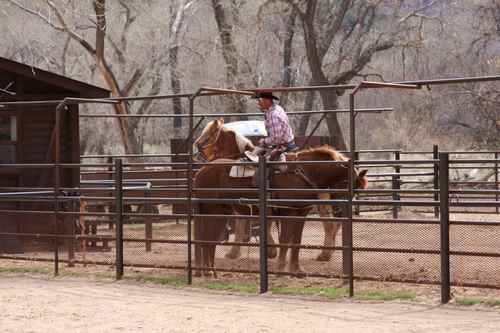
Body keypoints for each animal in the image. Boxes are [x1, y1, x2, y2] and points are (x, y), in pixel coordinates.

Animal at [192, 143, 368, 274]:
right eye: (347, 184)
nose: (340, 210)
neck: (302, 173)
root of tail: (201, 171)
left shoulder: (301, 213)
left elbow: (296, 241)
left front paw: (296, 269)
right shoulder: (286, 212)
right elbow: (284, 240)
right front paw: (281, 267)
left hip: (219, 211)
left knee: (209, 239)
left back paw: (209, 270)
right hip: (210, 210)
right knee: (204, 237)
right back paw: (205, 270)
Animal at [193, 118, 354, 260]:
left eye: (208, 135)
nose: (196, 148)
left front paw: (239, 252)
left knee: (330, 224)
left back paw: (325, 254)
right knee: (332, 224)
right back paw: (326, 253)